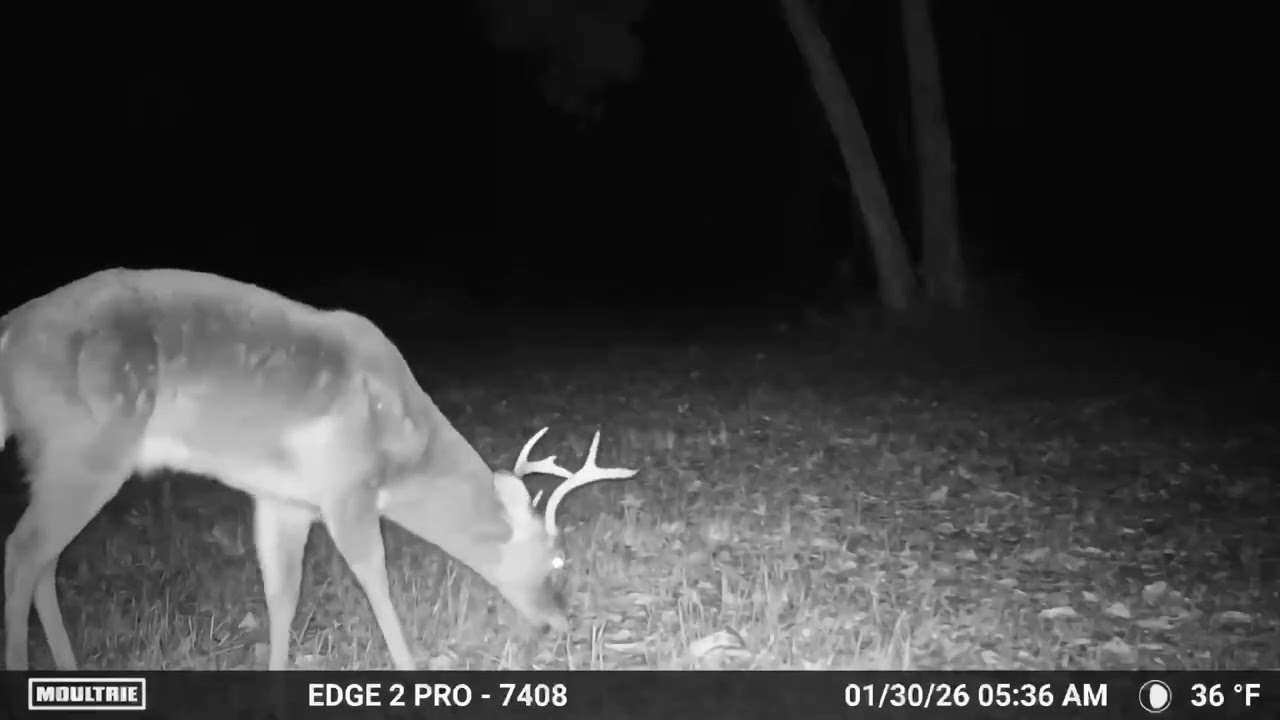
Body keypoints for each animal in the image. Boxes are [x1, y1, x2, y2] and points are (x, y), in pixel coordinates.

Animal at [0, 268, 638, 670]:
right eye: (557, 560)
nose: (562, 622)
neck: (401, 440)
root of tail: (9, 330)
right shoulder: (346, 485)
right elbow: (375, 577)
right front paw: (409, 668)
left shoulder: (283, 500)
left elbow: (282, 593)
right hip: (85, 444)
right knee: (23, 550)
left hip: (59, 456)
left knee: (44, 560)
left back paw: (66, 666)